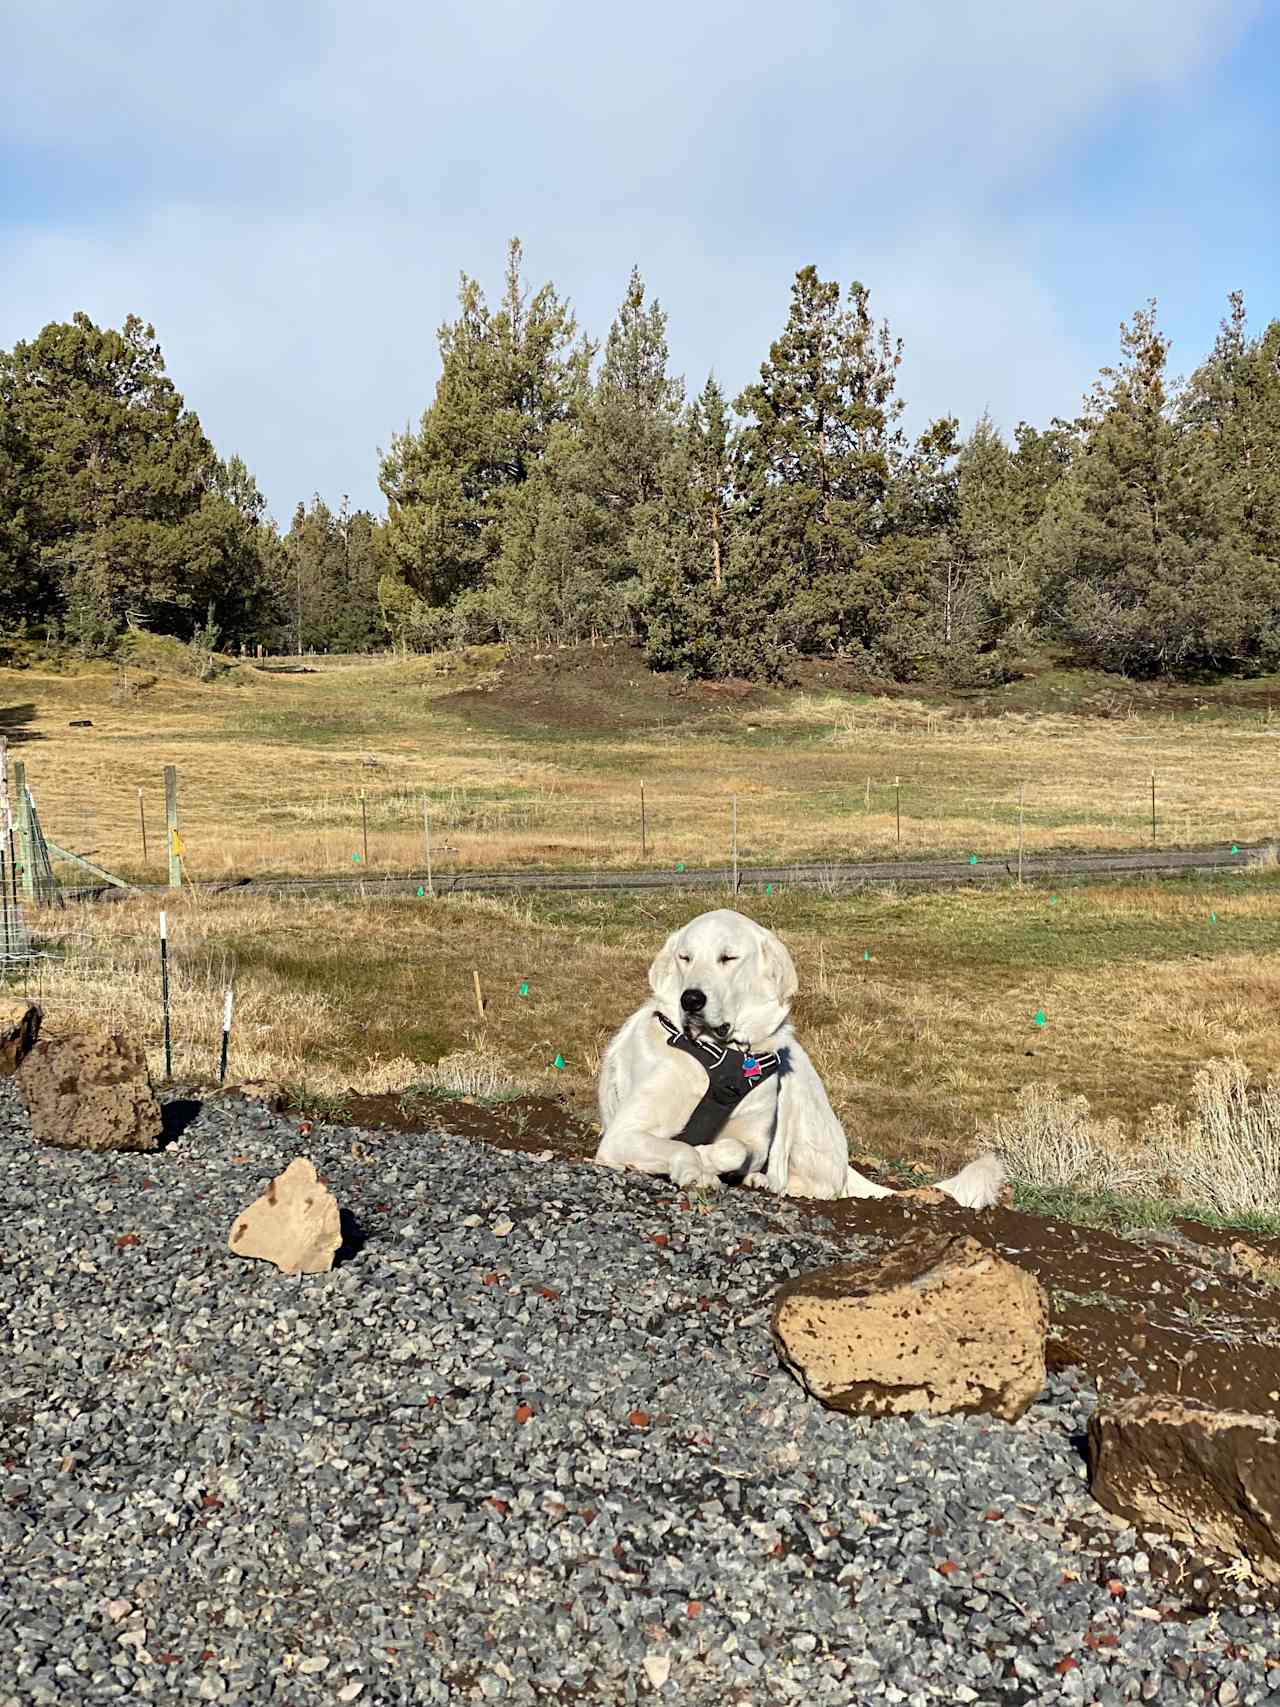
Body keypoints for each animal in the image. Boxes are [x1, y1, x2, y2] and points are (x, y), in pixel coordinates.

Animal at [597, 914, 1010, 1208]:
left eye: (728, 958)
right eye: (685, 957)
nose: (691, 999)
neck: (721, 1056)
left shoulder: (754, 1136)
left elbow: (734, 1150)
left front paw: (707, 1161)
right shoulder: (620, 1136)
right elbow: (678, 1146)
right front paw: (693, 1165)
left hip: (793, 1089)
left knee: (811, 1183)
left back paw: (767, 1180)